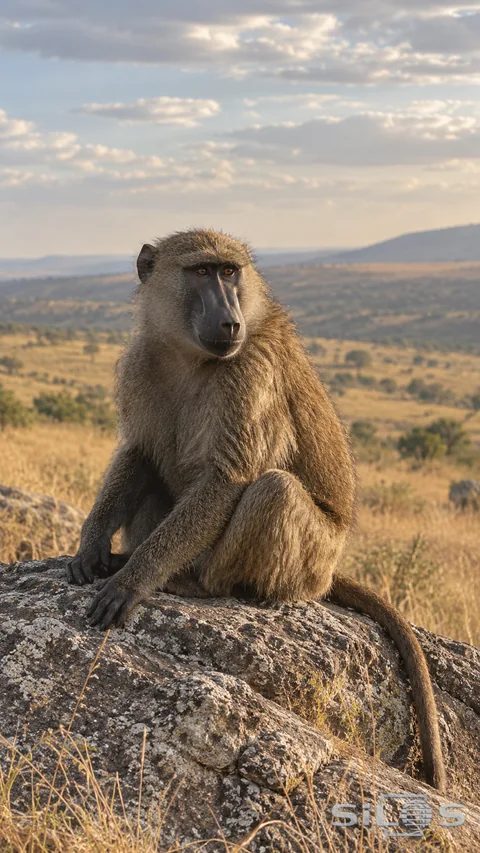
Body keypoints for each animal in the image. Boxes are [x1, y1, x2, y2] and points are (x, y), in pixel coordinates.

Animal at [68, 228, 446, 794]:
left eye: (231, 272)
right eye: (202, 272)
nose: (230, 321)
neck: (187, 356)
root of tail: (329, 570)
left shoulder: (249, 373)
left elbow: (230, 477)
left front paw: (134, 581)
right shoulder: (142, 361)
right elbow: (139, 452)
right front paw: (91, 547)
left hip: (311, 561)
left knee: (274, 490)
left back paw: (196, 583)